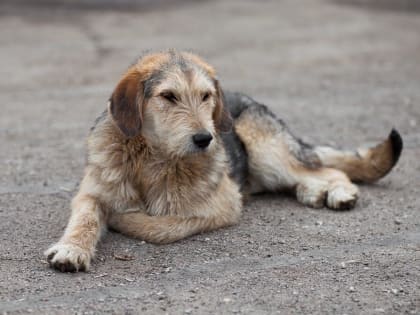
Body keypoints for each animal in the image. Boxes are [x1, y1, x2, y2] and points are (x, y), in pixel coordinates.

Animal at [44, 50, 402, 272]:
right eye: (168, 96)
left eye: (206, 96)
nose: (205, 139)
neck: (152, 159)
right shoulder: (92, 192)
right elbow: (85, 219)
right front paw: (72, 248)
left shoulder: (223, 204)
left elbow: (162, 226)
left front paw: (124, 219)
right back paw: (312, 193)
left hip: (267, 151)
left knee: (324, 168)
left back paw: (339, 192)